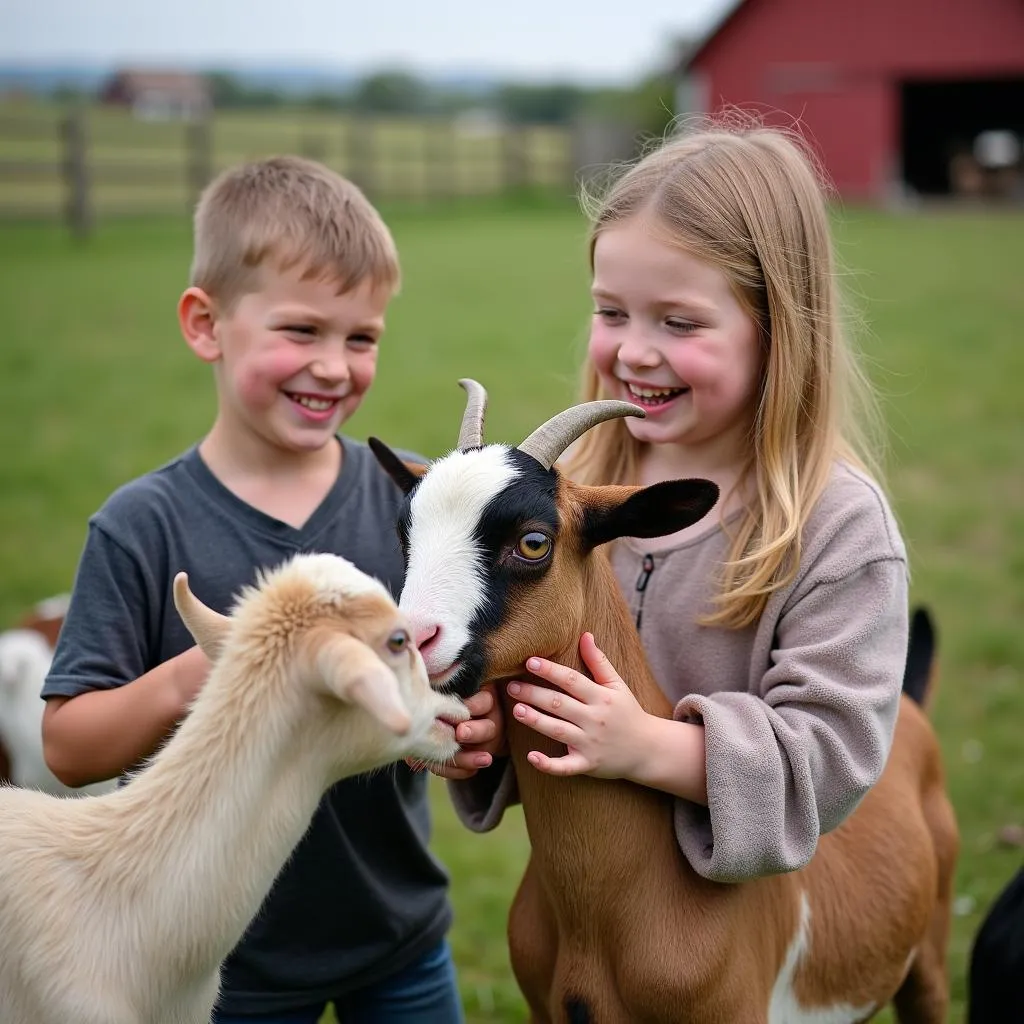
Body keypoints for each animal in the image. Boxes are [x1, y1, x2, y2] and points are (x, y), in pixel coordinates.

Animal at [374, 382, 958, 1024]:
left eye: (533, 542)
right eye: (404, 531)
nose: (409, 643)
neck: (601, 919)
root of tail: (910, 707)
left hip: (929, 961)